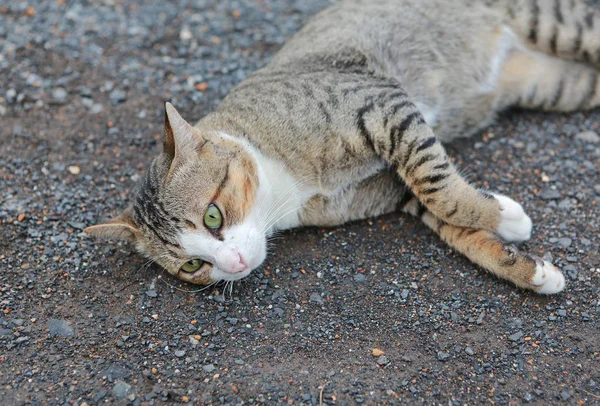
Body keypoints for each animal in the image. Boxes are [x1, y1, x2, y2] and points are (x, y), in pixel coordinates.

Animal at [83, 0, 600, 294]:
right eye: (193, 265)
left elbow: (440, 189)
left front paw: (505, 216)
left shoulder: (383, 105)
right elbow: (448, 219)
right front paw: (525, 262)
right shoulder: (390, 189)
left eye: (212, 216)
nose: (235, 265)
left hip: (555, 23)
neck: (284, 189)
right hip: (554, 85)